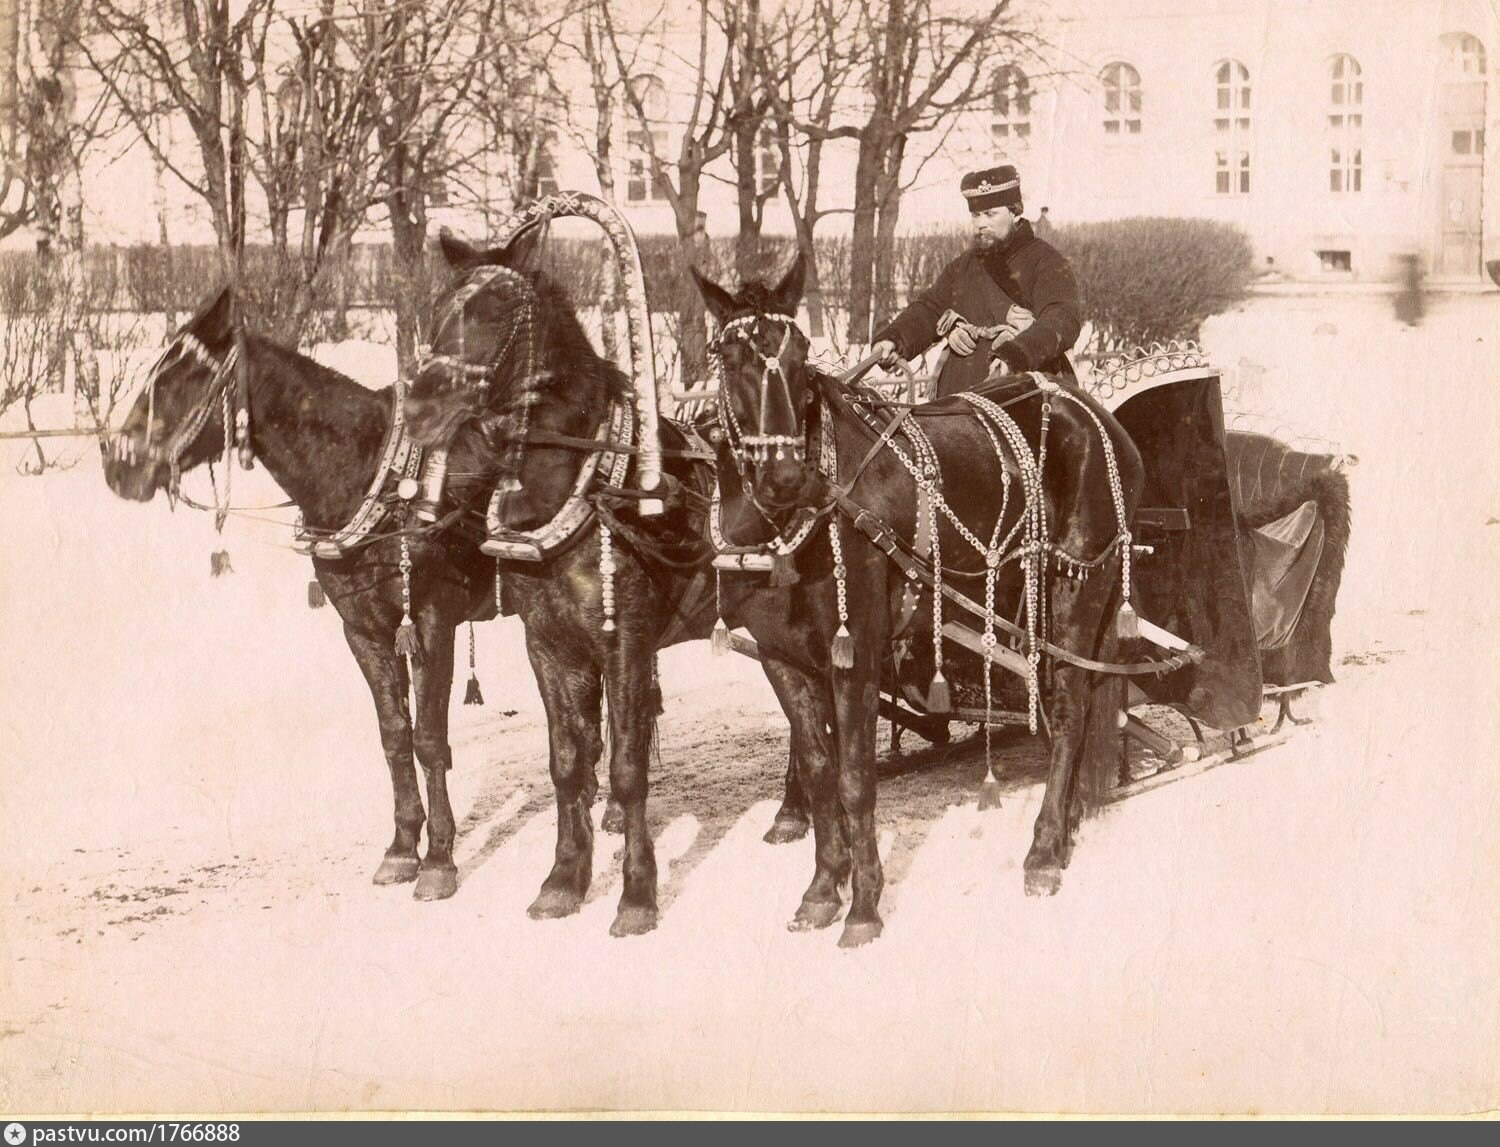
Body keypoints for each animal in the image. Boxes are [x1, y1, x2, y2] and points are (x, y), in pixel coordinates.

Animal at [101, 284, 498, 893]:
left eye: (176, 381)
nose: (119, 467)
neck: (370, 476)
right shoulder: (364, 631)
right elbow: (394, 734)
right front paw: (402, 848)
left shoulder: (432, 623)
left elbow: (430, 739)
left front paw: (439, 860)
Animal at [405, 227, 744, 935]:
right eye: (440, 309)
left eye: (496, 313)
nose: (420, 407)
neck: (582, 486)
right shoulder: (550, 644)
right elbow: (567, 761)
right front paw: (564, 880)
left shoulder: (626, 640)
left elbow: (627, 765)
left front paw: (637, 894)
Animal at [693, 259, 1146, 947]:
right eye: (730, 354)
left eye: (799, 353)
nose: (787, 478)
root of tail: (1096, 415)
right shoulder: (782, 658)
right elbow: (819, 771)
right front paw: (822, 889)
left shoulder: (855, 653)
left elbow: (855, 779)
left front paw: (863, 907)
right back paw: (1065, 831)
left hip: (1080, 583)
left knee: (1069, 710)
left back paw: (1043, 850)